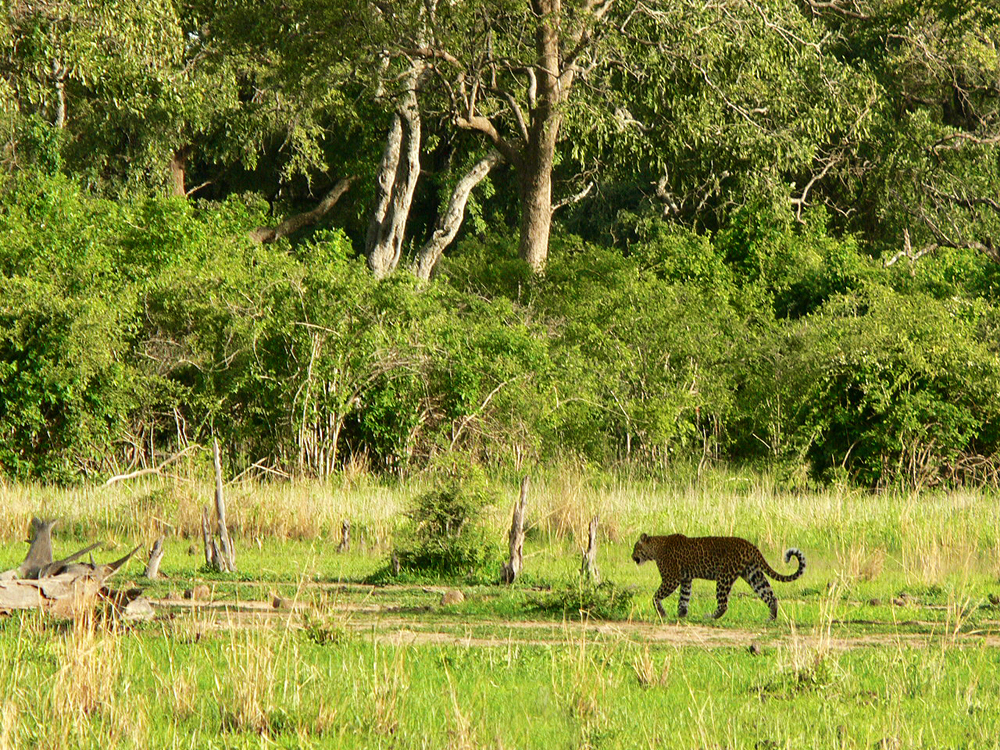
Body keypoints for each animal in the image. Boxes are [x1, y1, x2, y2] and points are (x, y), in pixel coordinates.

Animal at [632, 536, 804, 624]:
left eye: (636, 548)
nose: (632, 556)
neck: (655, 548)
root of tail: (750, 545)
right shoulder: (686, 579)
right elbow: (684, 598)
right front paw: (681, 614)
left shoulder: (671, 579)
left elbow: (655, 597)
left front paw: (662, 613)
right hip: (753, 574)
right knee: (770, 595)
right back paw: (771, 618)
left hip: (724, 577)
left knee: (723, 605)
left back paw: (710, 617)